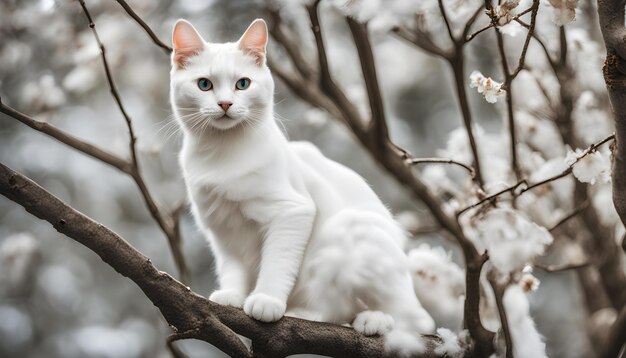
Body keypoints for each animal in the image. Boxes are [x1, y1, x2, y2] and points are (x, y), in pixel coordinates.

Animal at [171, 18, 434, 354]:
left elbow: (277, 264)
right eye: (204, 84)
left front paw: (266, 300)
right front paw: (232, 296)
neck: (221, 154)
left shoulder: (292, 211)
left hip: (353, 233)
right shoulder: (222, 227)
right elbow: (233, 267)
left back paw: (370, 319)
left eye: (242, 84)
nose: (225, 103)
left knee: (404, 316)